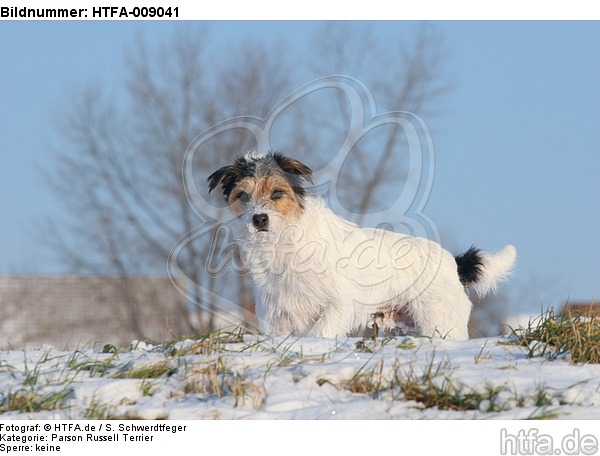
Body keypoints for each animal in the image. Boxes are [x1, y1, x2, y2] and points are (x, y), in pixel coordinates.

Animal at [207, 151, 516, 340]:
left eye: (277, 192)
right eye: (243, 195)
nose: (259, 219)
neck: (283, 244)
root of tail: (453, 262)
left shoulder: (337, 305)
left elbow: (319, 333)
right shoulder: (275, 317)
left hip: (440, 322)